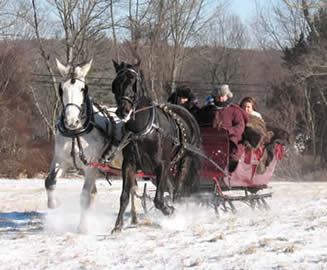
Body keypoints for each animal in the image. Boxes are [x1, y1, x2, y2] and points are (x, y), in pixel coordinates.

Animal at [44, 58, 116, 232]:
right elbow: (50, 182)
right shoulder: (60, 160)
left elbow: (84, 196)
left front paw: (82, 227)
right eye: (61, 89)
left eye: (83, 89)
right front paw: (54, 203)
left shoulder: (91, 166)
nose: (71, 121)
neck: (75, 133)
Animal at [111, 60, 201, 232]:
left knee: (178, 190)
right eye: (116, 83)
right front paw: (118, 226)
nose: (123, 111)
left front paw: (170, 210)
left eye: (134, 81)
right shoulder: (129, 164)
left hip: (185, 161)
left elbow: (158, 200)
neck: (142, 130)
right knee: (172, 189)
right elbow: (124, 195)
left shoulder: (162, 165)